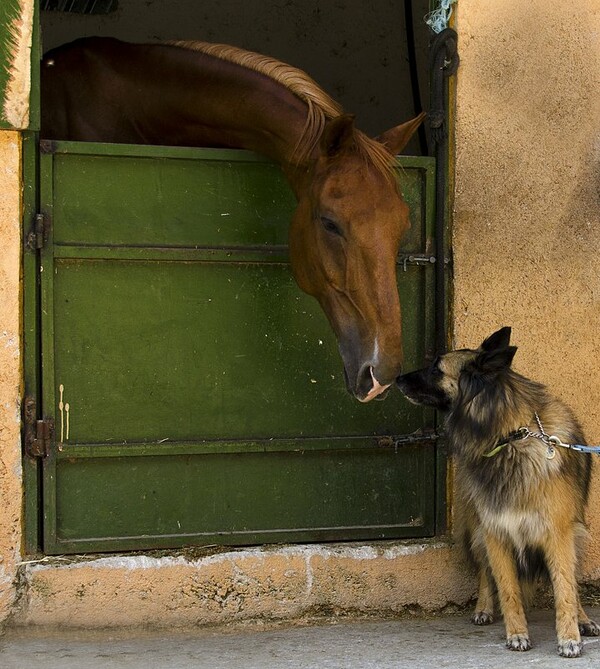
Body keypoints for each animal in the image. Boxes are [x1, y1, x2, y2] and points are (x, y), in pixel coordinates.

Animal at [396, 326, 596, 656]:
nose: (397, 378)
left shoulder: (558, 533)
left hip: (577, 534)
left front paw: (569, 636)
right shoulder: (496, 531)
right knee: (483, 572)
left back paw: (584, 618)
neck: (510, 438)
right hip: (478, 528)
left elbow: (565, 588)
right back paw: (483, 608)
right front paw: (517, 633)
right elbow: (507, 588)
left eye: (436, 368)